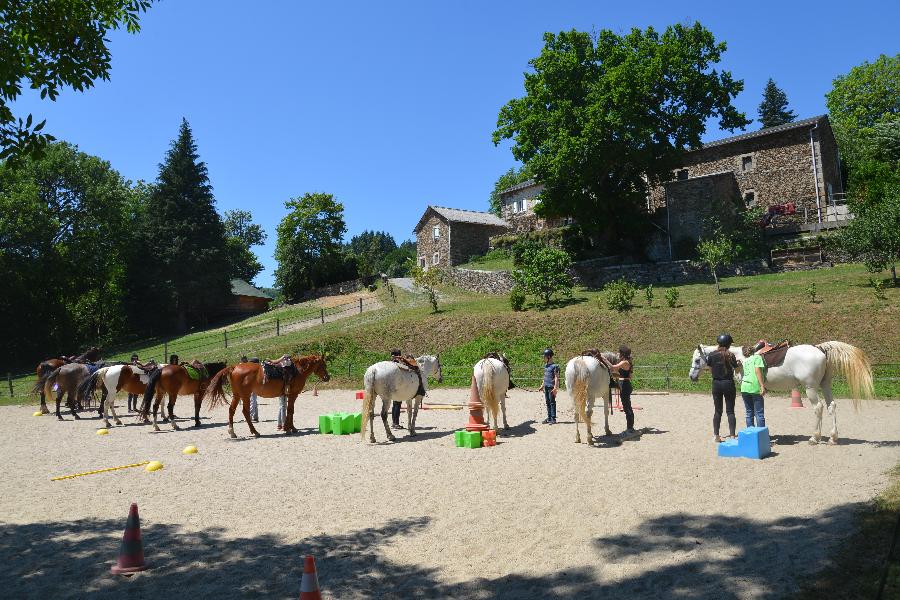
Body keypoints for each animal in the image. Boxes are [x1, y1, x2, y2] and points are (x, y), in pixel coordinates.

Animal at [688, 340, 872, 442]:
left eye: (697, 360)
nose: (691, 376)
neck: (740, 357)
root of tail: (819, 349)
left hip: (810, 388)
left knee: (818, 408)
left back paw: (815, 437)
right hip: (825, 385)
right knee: (831, 406)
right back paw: (833, 437)